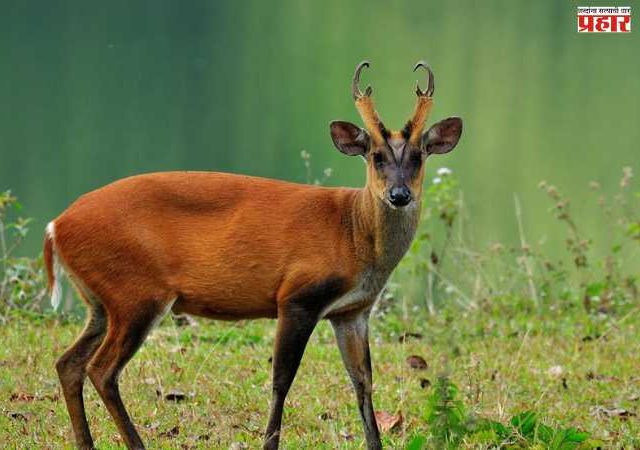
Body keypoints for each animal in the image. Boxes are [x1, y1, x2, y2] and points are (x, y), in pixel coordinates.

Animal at [44, 60, 462, 450]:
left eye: (419, 156)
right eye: (376, 156)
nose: (399, 194)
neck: (353, 233)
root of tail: (56, 226)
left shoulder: (352, 311)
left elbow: (363, 382)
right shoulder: (297, 296)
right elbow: (282, 380)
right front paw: (269, 442)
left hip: (102, 300)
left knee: (69, 362)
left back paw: (86, 442)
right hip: (136, 293)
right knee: (102, 370)